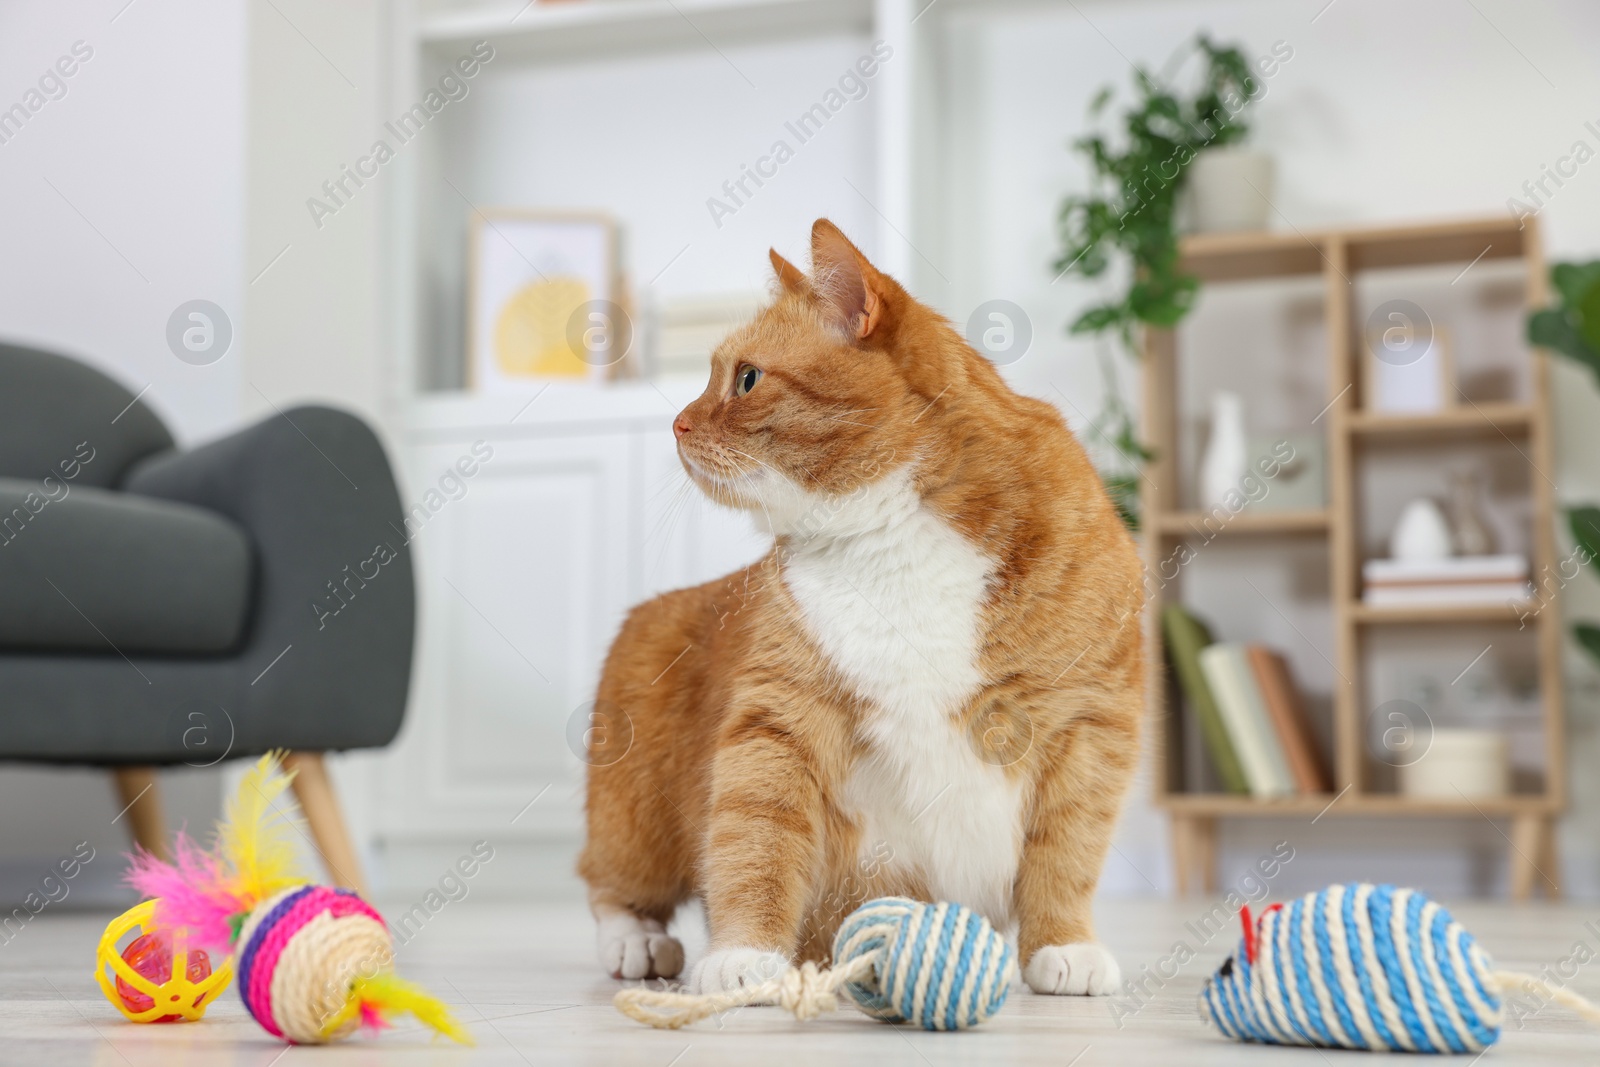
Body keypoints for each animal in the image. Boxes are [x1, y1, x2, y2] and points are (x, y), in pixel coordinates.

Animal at [582, 220, 1145, 998]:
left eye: (746, 378)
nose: (675, 423)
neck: (889, 538)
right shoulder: (778, 718)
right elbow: (755, 835)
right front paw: (744, 952)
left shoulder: (1089, 722)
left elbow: (1067, 848)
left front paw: (1064, 943)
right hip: (632, 814)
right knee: (612, 882)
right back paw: (637, 942)